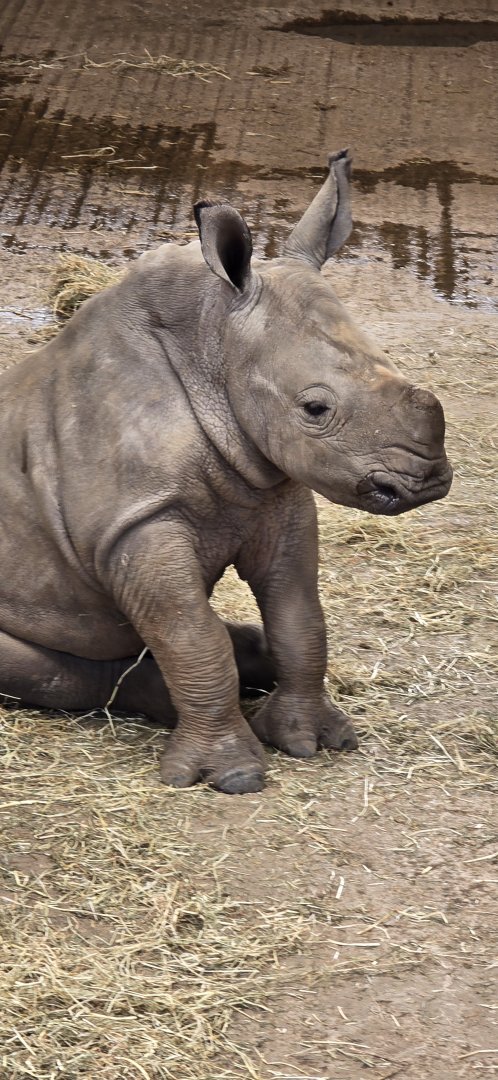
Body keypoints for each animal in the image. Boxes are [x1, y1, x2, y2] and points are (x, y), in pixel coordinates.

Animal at [0, 150, 452, 793]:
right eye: (315, 408)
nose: (430, 478)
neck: (212, 350)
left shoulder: (275, 493)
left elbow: (299, 619)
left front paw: (312, 741)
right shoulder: (135, 522)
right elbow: (190, 633)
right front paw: (233, 775)